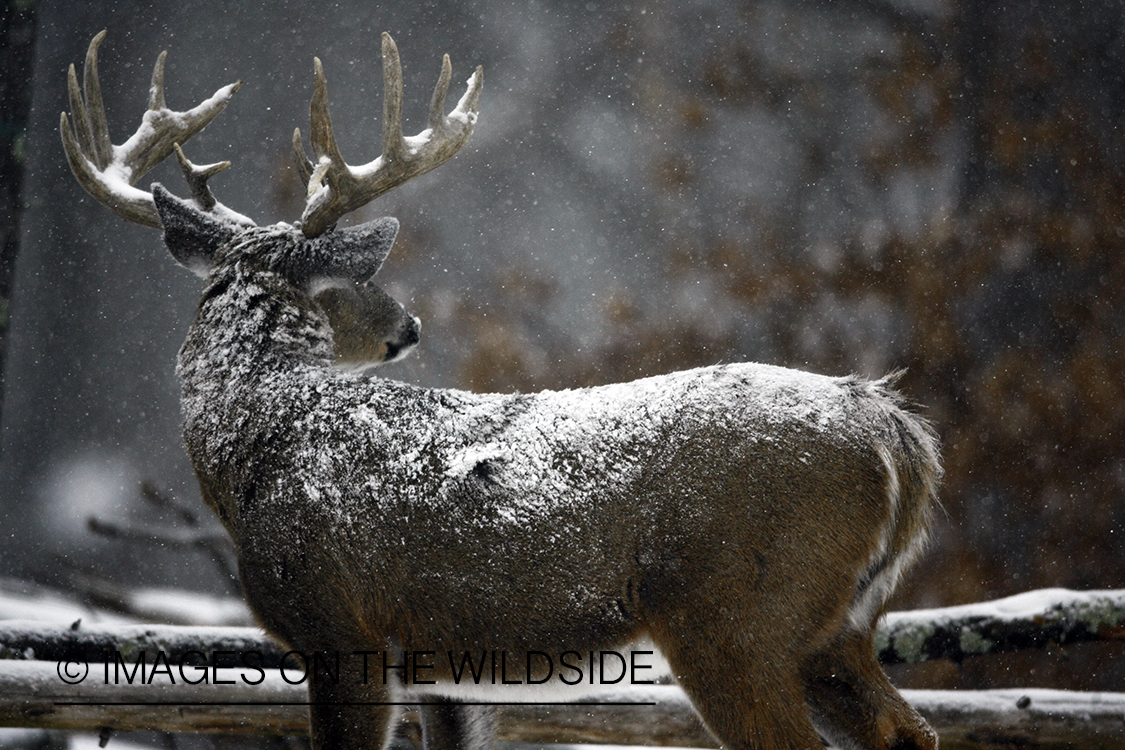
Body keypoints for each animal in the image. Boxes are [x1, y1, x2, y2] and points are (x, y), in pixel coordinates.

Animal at [59, 30, 940, 750]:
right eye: (355, 282)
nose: (407, 326)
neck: (260, 447)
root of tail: (891, 428)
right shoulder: (444, 662)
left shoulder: (342, 631)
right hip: (835, 628)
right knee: (909, 734)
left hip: (735, 616)